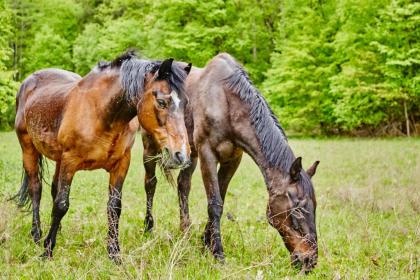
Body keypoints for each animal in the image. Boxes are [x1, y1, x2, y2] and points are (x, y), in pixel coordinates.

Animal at [12, 50, 191, 262]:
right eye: (162, 102)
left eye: (185, 103)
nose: (181, 154)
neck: (101, 113)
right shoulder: (70, 162)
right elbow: (61, 205)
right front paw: (47, 251)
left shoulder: (121, 164)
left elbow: (114, 207)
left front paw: (114, 253)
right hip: (28, 148)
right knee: (36, 189)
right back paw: (37, 234)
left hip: (57, 159)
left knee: (54, 189)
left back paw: (57, 230)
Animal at [143, 53, 320, 272]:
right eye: (296, 210)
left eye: (314, 206)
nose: (309, 260)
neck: (226, 101)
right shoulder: (208, 154)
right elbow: (215, 204)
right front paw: (218, 254)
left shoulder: (232, 159)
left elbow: (220, 198)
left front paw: (206, 243)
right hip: (150, 146)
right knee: (150, 184)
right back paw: (148, 228)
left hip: (189, 155)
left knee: (183, 186)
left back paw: (185, 233)